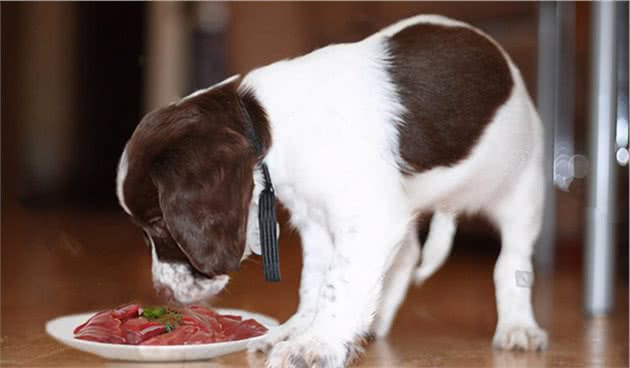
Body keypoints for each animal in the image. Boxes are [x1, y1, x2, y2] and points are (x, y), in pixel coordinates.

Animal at [117, 14, 548, 368]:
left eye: (159, 226)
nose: (162, 293)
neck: (270, 125)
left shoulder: (369, 217)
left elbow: (338, 286)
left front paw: (317, 344)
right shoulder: (318, 220)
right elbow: (316, 284)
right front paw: (300, 329)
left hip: (520, 188)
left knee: (511, 263)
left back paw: (518, 327)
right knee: (407, 252)